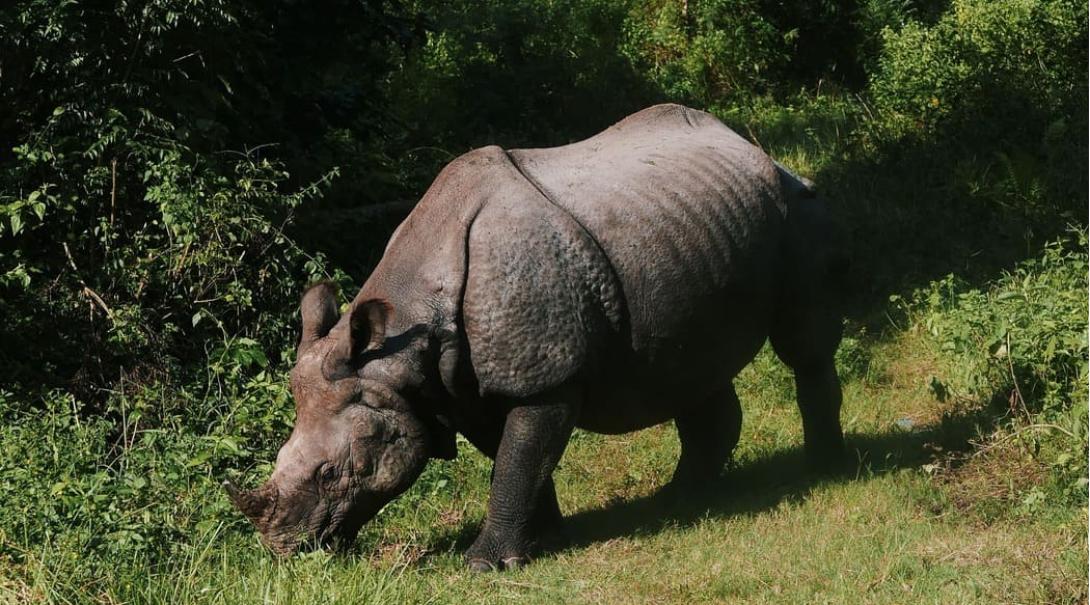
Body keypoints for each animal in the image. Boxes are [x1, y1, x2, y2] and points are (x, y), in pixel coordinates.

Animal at [223, 104, 850, 571]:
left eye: (331, 473)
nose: (286, 551)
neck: (405, 338)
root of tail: (756, 150)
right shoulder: (464, 387)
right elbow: (518, 458)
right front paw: (539, 543)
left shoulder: (543, 376)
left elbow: (519, 457)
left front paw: (482, 564)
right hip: (692, 231)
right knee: (690, 367)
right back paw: (684, 500)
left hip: (796, 207)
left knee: (803, 345)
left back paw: (824, 472)